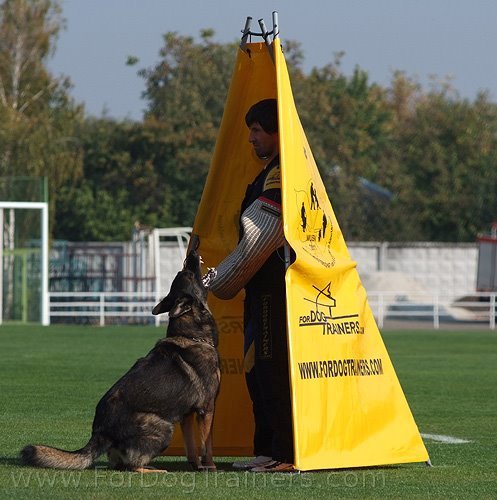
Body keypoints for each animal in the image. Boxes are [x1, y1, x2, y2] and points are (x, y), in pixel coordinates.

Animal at [20, 246, 219, 472]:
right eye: (188, 274)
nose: (192, 251)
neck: (191, 335)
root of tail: (100, 432)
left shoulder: (186, 416)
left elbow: (192, 445)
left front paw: (196, 464)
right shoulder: (206, 408)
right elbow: (206, 442)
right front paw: (210, 467)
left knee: (121, 464)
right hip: (164, 427)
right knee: (133, 466)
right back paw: (155, 469)